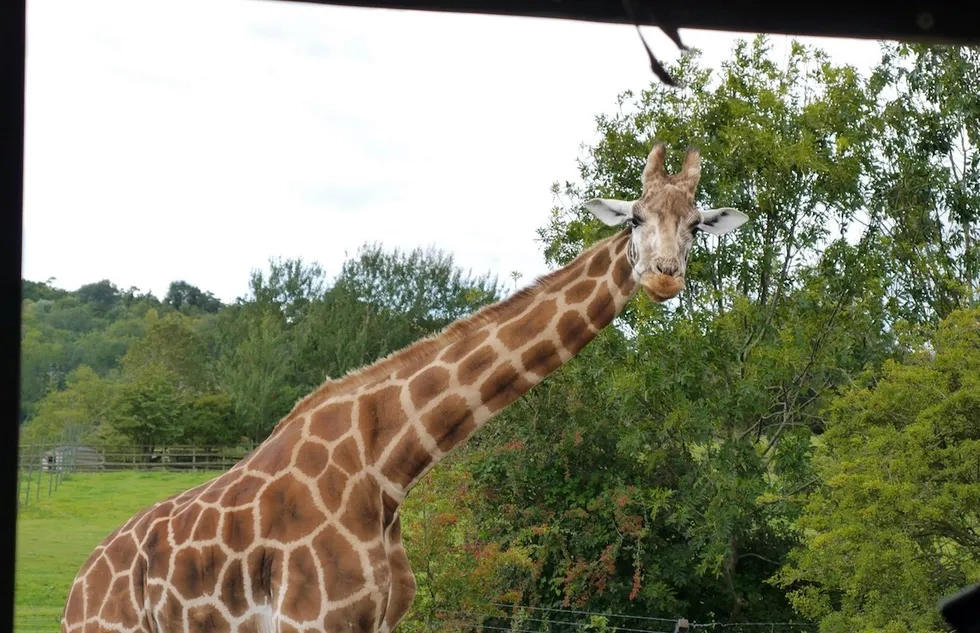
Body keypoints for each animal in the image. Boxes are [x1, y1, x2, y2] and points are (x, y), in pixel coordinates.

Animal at [59, 142, 749, 633]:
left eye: (695, 223)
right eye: (635, 217)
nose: (664, 275)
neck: (389, 466)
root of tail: (76, 591)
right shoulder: (313, 622)